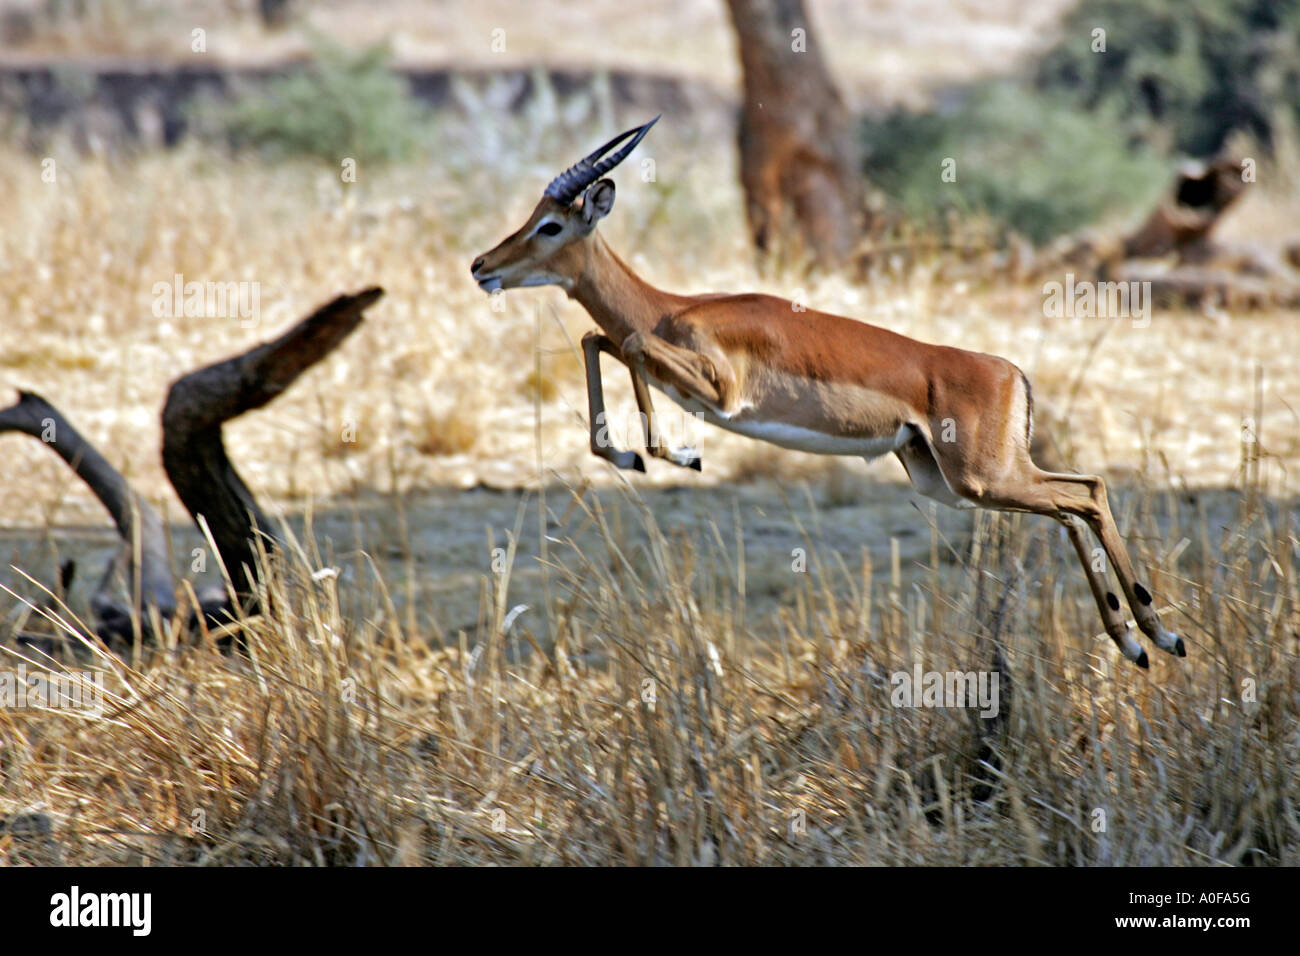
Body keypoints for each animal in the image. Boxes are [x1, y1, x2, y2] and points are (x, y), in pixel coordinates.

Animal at [470, 118, 1185, 668]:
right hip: (952, 483)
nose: (482, 266)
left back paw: (1158, 633)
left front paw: (673, 455)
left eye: (551, 226)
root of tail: (1010, 372)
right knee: (1073, 503)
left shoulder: (721, 390)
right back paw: (1137, 640)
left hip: (983, 477)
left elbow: (631, 343)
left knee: (1086, 493)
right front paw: (640, 456)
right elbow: (601, 339)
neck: (674, 307)